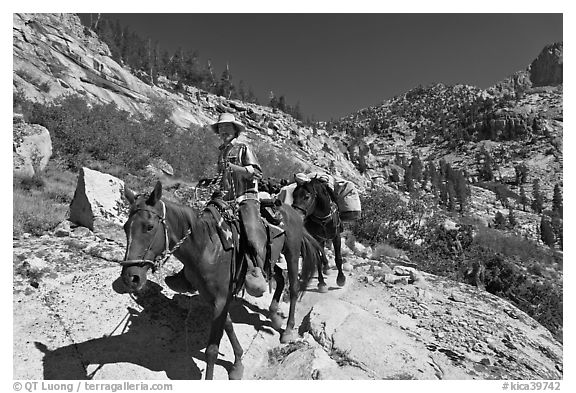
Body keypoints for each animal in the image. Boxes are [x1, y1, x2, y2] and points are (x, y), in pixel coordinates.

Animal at [119, 182, 326, 378]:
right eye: (125, 227)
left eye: (149, 227)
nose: (131, 278)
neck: (205, 247)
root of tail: (292, 211)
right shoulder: (214, 298)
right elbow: (228, 324)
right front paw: (238, 363)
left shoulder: (220, 299)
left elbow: (212, 350)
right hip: (269, 259)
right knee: (281, 278)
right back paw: (275, 317)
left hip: (292, 253)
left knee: (294, 287)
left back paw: (289, 330)